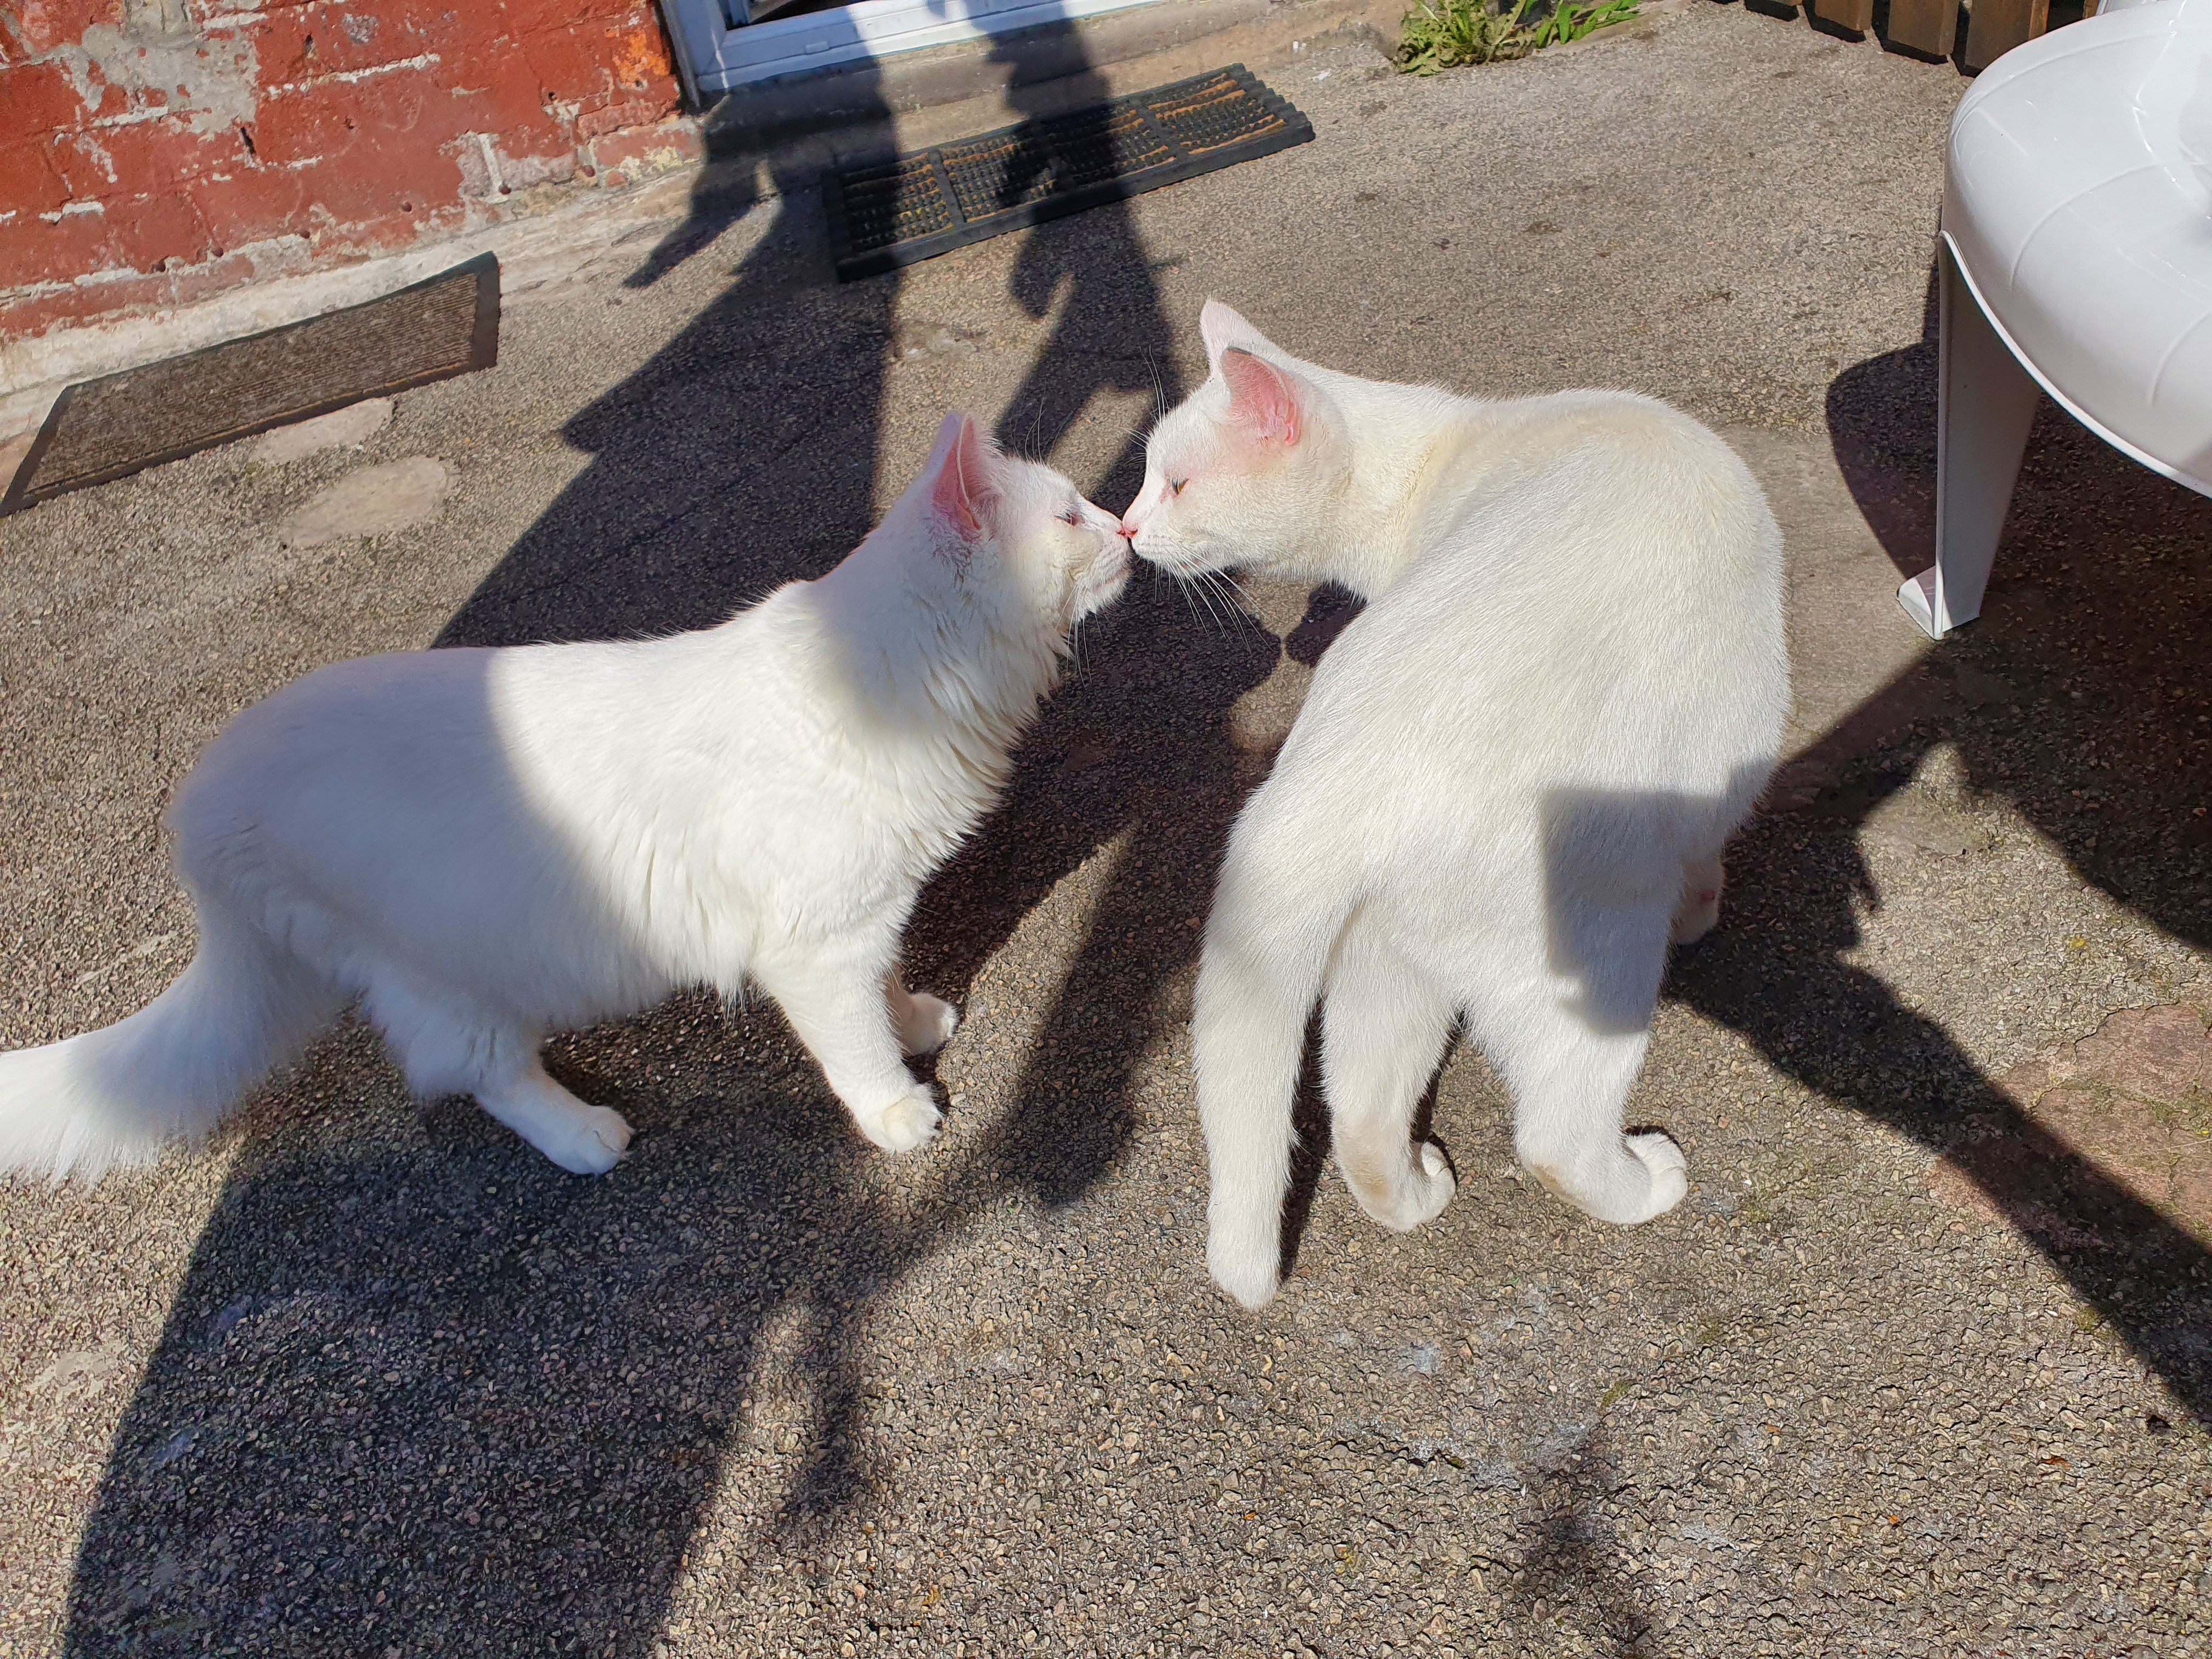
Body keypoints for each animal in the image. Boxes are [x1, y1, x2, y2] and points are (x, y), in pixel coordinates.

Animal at [0, 413, 1132, 1186]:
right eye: (1070, 516)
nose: (1126, 524)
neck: (890, 683)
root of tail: (206, 791)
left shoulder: (862, 913)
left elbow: (884, 983)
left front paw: (911, 1018)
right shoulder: (809, 946)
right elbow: (850, 1041)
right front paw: (896, 1107)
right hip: (450, 968)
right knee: (481, 1072)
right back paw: (586, 1134)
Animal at [1132, 298, 1787, 1309]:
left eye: (1172, 483)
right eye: (1145, 482)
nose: (1122, 528)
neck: (1439, 457)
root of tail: (1330, 779)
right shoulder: (1719, 777)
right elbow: (1707, 855)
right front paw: (1703, 913)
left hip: (1389, 961)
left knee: (1360, 1116)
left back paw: (1414, 1193)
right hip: (1593, 952)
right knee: (1557, 1136)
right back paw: (1646, 1184)